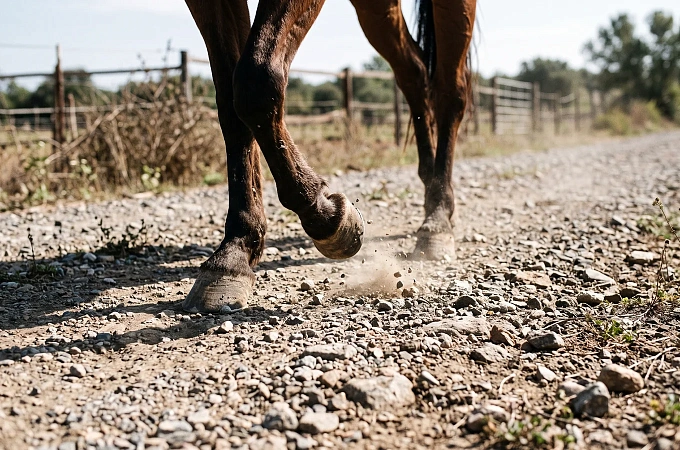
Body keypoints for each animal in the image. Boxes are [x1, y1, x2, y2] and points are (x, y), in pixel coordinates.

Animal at [182, 0, 476, 313]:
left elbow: (255, 82)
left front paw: (326, 215)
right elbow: (230, 103)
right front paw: (235, 252)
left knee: (451, 92)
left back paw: (438, 218)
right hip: (377, 9)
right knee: (415, 74)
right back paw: (432, 186)